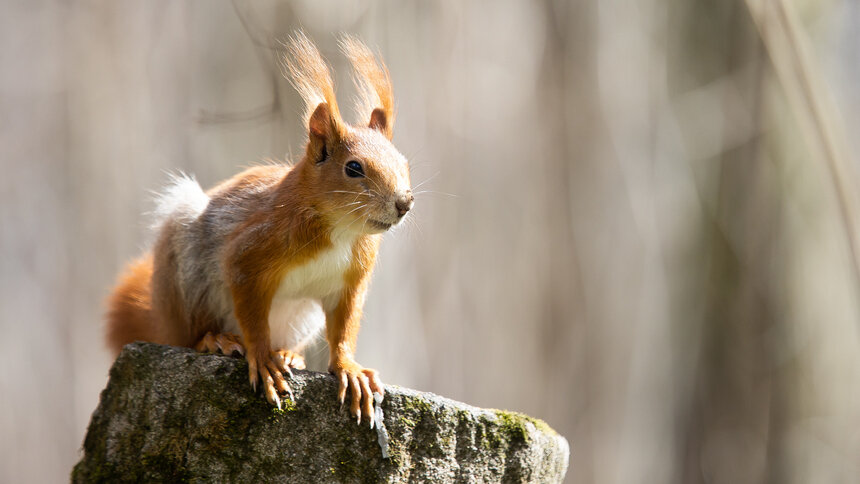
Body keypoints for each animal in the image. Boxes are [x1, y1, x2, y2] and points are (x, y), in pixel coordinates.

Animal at [104, 32, 414, 424]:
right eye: (354, 168)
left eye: (405, 163)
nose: (404, 203)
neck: (340, 230)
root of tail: (162, 320)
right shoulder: (250, 253)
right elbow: (251, 311)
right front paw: (263, 358)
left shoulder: (351, 282)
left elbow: (344, 326)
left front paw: (349, 369)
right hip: (185, 275)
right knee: (189, 334)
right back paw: (216, 340)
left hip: (301, 316)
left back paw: (288, 353)